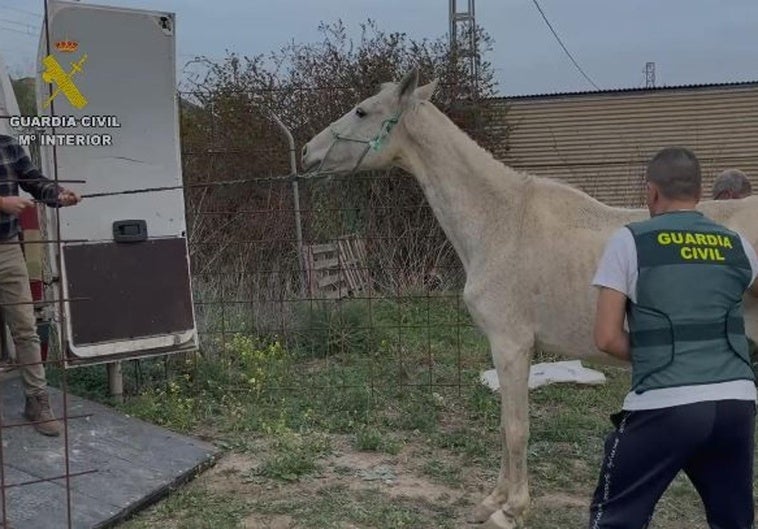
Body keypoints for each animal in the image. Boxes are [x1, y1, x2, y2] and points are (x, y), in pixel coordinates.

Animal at [302, 68, 758, 524]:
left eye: (362, 110)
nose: (308, 153)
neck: (501, 221)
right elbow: (505, 426)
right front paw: (492, 501)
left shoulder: (510, 345)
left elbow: (515, 428)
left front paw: (512, 508)